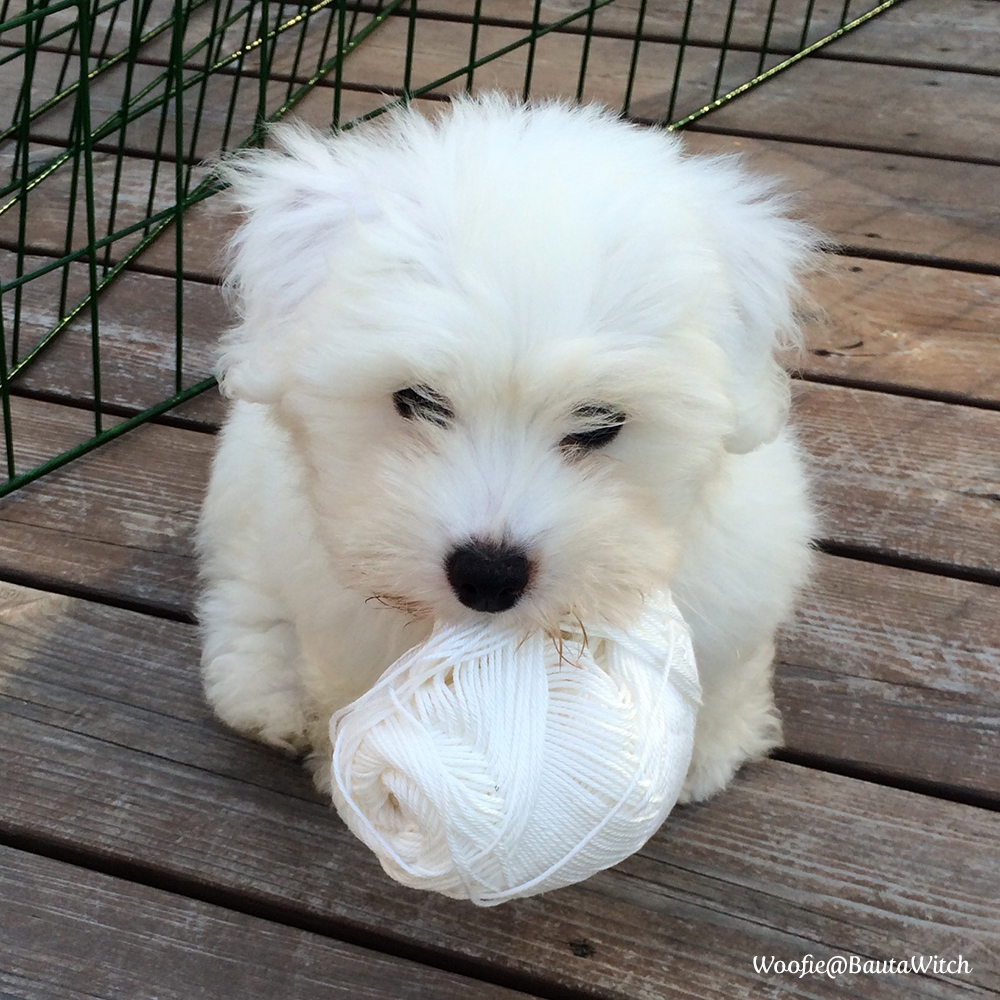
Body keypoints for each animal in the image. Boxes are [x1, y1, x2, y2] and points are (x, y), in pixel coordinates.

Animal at [198, 94, 816, 803]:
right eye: (418, 400)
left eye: (600, 425)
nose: (489, 575)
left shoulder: (739, 581)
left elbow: (722, 669)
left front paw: (700, 754)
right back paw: (269, 694)